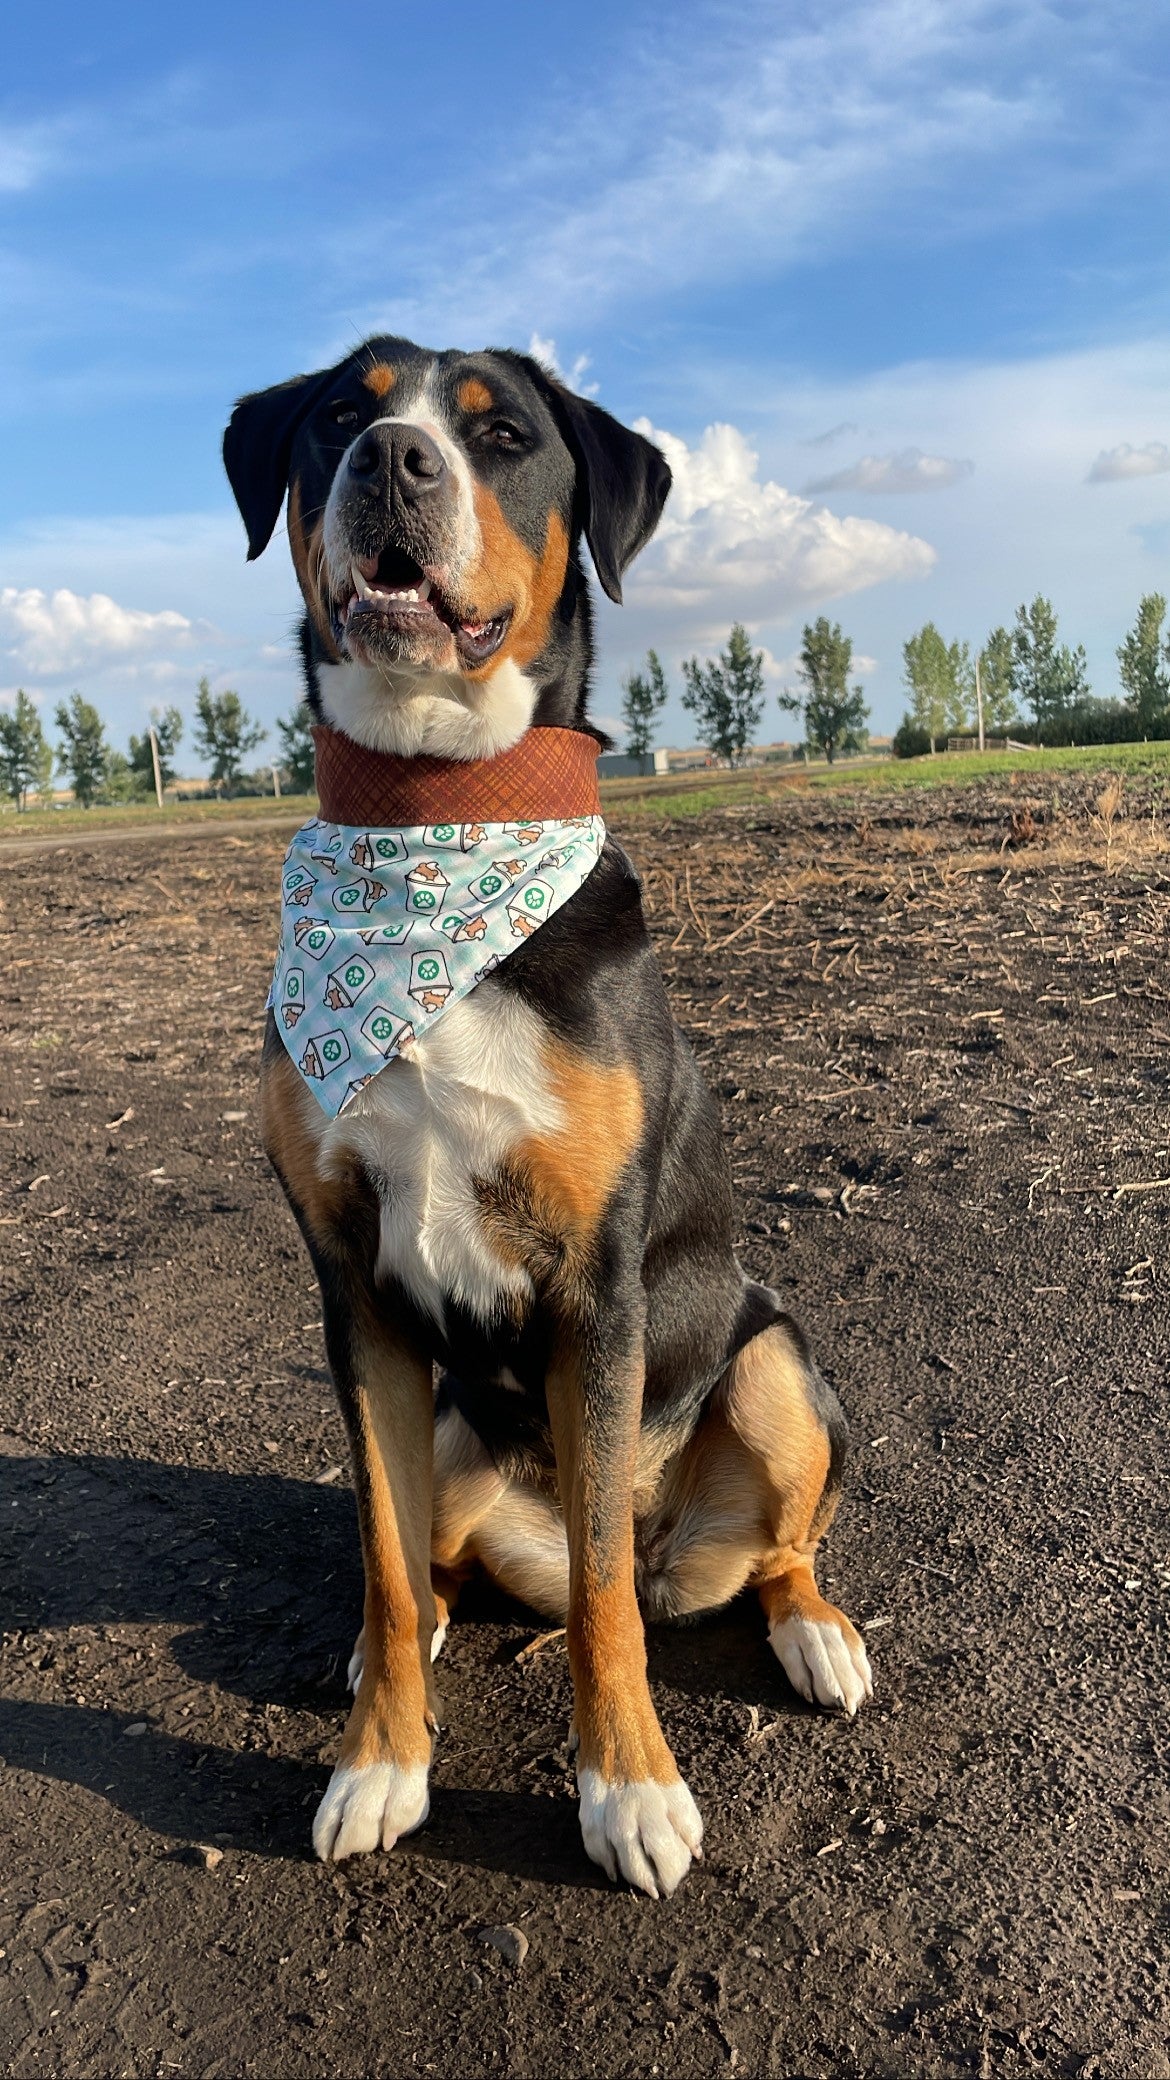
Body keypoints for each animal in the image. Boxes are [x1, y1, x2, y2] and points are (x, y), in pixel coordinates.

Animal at [222, 328, 870, 1905]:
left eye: (500, 433)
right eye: (338, 415)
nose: (390, 460)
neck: (431, 821)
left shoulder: (596, 1287)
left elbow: (600, 1605)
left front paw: (627, 1792)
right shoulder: (355, 1291)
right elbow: (387, 1565)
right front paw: (379, 1762)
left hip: (773, 1360)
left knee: (757, 1555)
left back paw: (816, 1633)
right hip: (459, 1431)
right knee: (453, 1561)